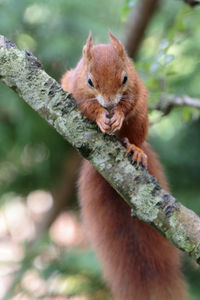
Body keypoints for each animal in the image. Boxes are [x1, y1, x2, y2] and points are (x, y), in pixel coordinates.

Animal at [61, 32, 188, 300]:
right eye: (90, 81)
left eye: (125, 78)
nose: (109, 104)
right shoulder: (76, 89)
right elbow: (86, 106)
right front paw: (101, 116)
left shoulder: (136, 88)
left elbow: (128, 104)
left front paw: (117, 114)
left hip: (141, 119)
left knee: (135, 134)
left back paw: (135, 148)